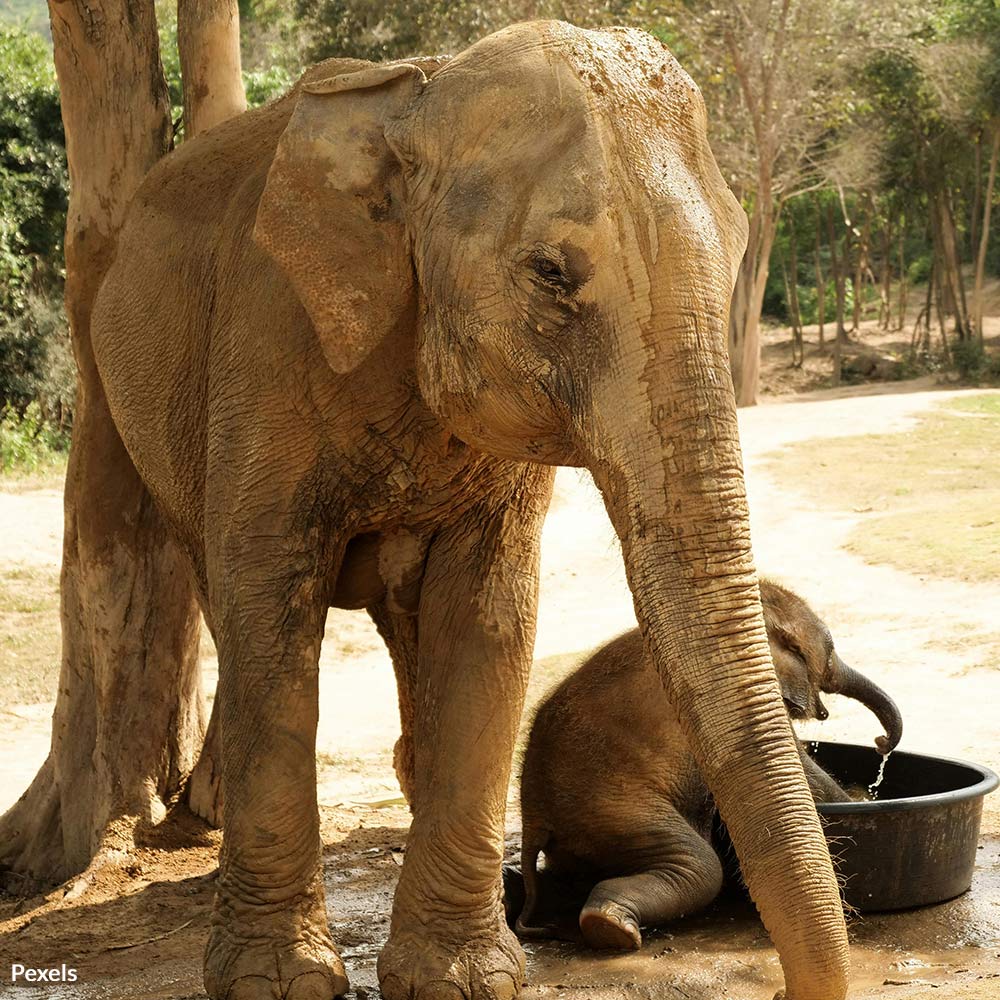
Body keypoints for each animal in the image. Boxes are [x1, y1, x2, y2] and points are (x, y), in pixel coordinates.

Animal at [90, 18, 853, 1000]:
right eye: (551, 272)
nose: (792, 983)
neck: (418, 96)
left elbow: (487, 619)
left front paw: (461, 979)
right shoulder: (264, 348)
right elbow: (267, 608)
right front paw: (279, 983)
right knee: (231, 603)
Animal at [514, 579, 903, 951]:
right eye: (830, 650)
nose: (880, 742)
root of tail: (532, 817)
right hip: (614, 810)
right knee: (699, 866)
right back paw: (612, 930)